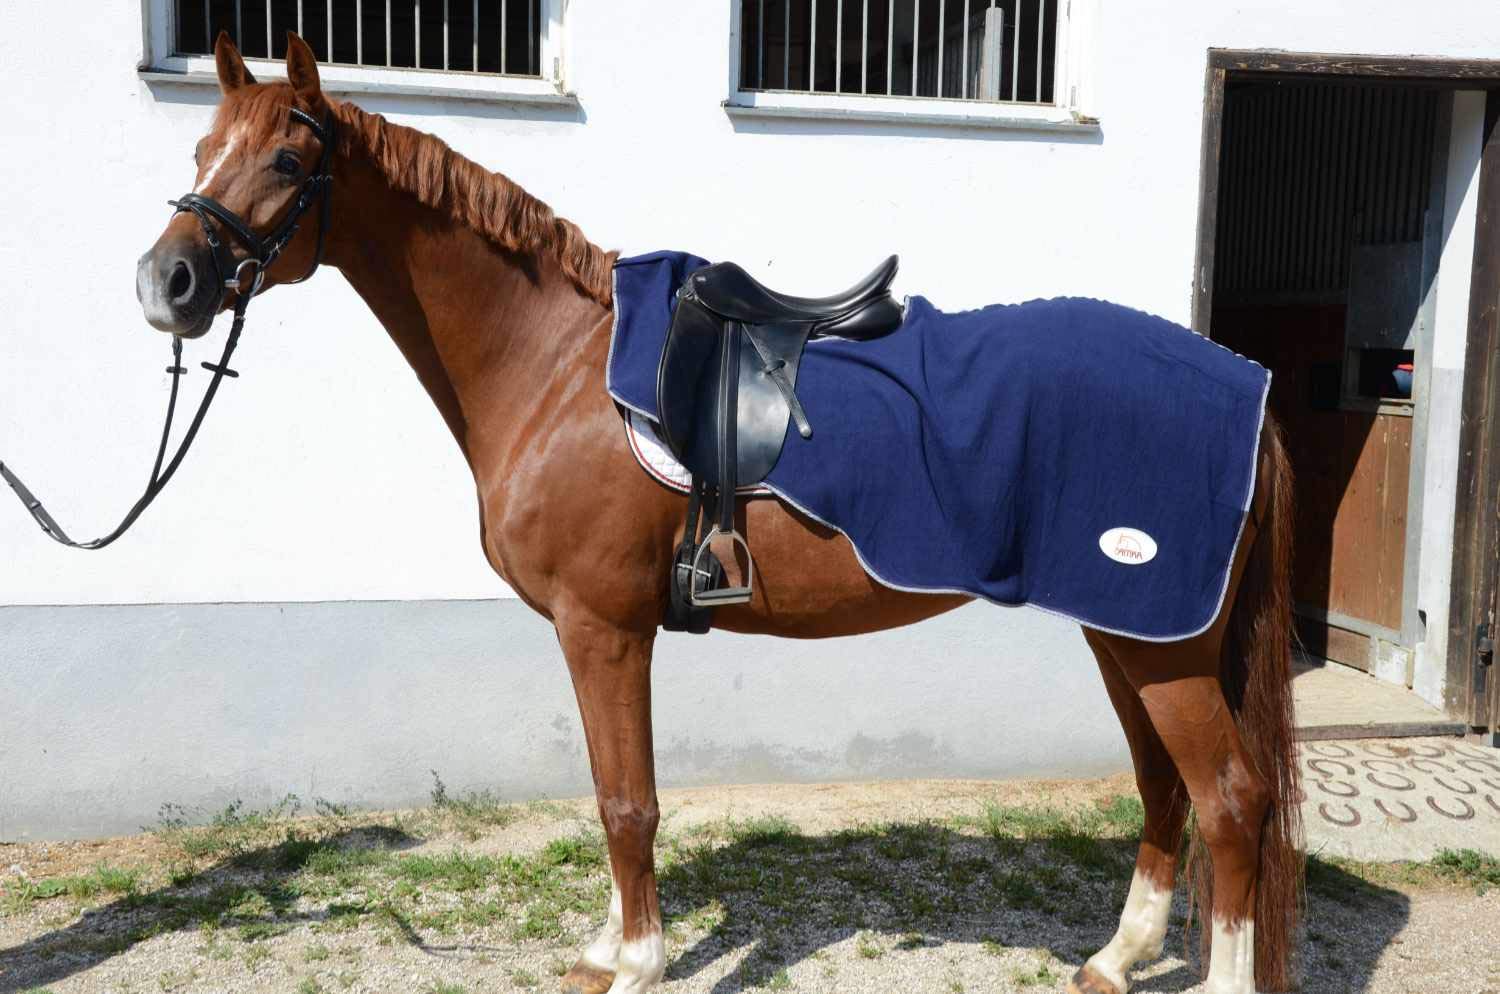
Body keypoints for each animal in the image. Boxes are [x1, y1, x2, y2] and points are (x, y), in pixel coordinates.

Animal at [134, 33, 1302, 994]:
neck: (554, 364)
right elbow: (611, 790)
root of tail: (1246, 388)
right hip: (1126, 633)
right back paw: (1115, 959)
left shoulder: (603, 627)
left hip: (1160, 643)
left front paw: (639, 963)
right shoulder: (600, 631)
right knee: (1165, 788)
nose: (167, 282)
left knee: (1230, 799)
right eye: (201, 149)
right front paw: (609, 948)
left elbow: (627, 802)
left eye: (288, 164)